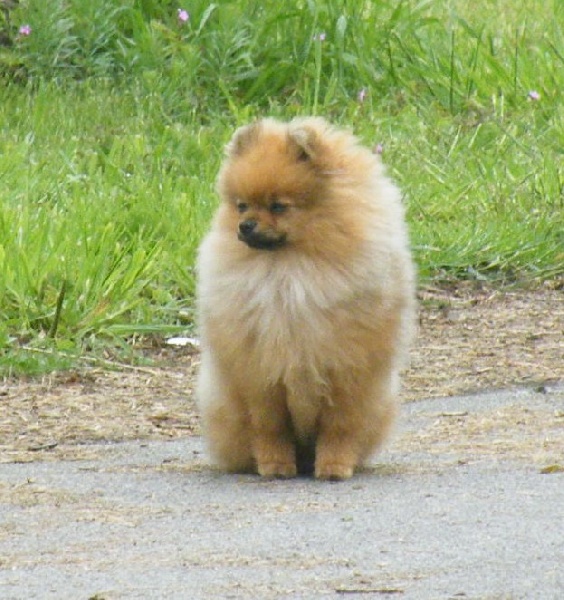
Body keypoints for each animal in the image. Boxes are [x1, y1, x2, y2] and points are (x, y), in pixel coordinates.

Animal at [197, 117, 414, 480]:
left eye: (278, 206)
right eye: (241, 205)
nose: (245, 226)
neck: (289, 274)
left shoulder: (348, 372)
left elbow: (340, 428)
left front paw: (334, 467)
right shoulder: (259, 374)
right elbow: (269, 428)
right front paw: (274, 465)